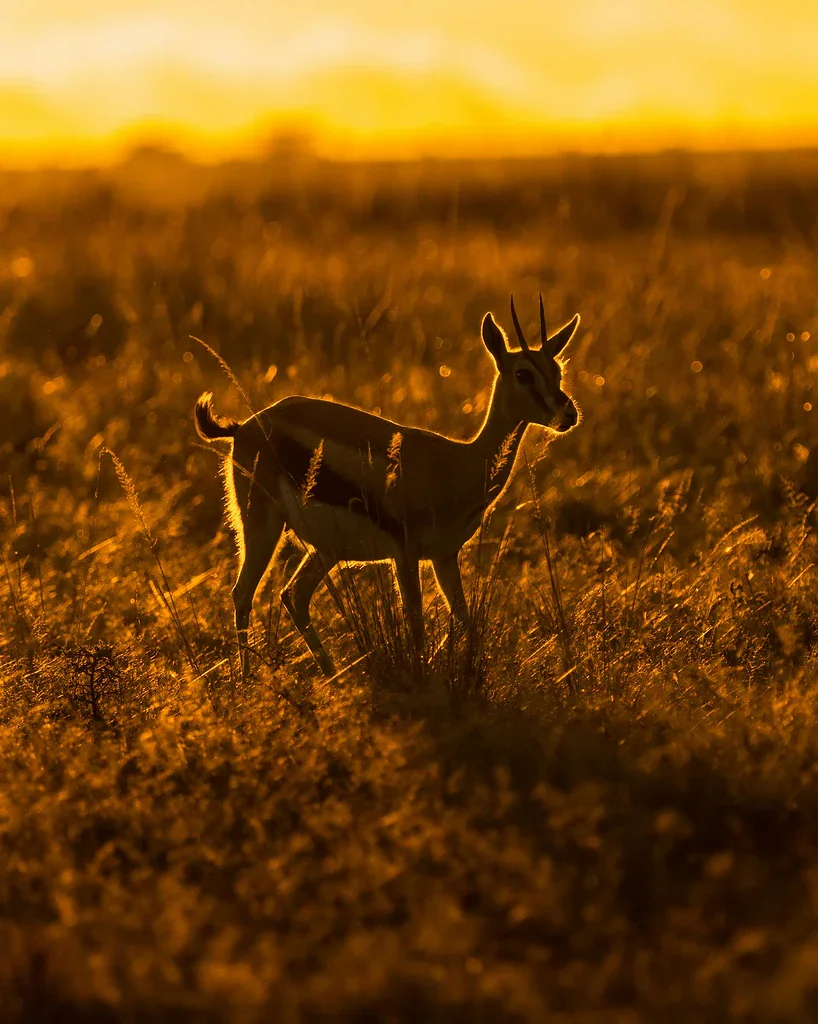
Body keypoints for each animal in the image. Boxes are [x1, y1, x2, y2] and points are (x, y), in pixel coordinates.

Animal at [195, 296, 581, 676]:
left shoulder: (444, 556)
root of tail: (246, 425)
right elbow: (417, 628)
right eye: (523, 374)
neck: (459, 462)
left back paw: (333, 675)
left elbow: (465, 621)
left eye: (557, 371)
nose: (568, 414)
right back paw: (248, 680)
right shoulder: (405, 554)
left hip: (327, 549)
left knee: (293, 595)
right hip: (262, 525)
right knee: (243, 593)